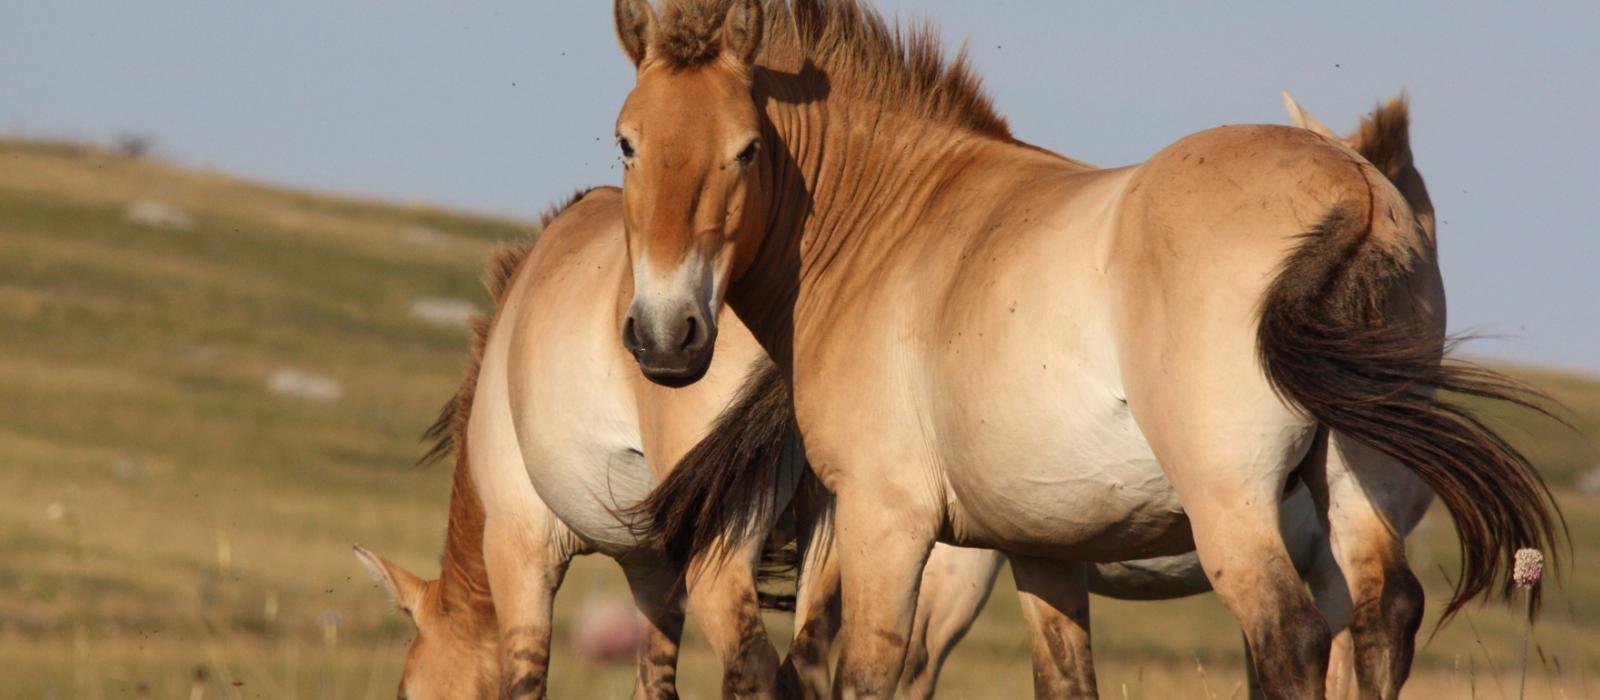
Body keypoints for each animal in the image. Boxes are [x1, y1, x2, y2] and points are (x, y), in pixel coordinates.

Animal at [604, 2, 1555, 696]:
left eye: (746, 150)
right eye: (627, 143)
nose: (665, 335)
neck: (894, 224)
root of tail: (1353, 188)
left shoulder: (886, 521)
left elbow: (866, 676)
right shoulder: (1045, 551)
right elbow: (1065, 681)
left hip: (1234, 504)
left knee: (1290, 636)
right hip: (1359, 485)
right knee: (1383, 615)